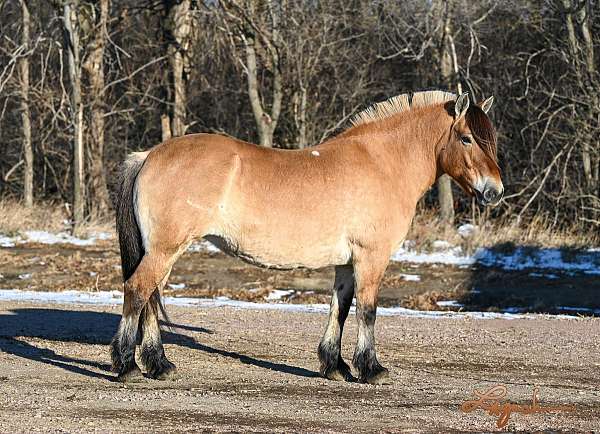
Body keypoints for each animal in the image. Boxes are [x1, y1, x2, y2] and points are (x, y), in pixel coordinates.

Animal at [111, 90, 502, 384]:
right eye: (467, 138)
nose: (494, 192)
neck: (381, 164)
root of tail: (148, 155)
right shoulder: (371, 257)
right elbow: (368, 311)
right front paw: (371, 369)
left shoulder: (346, 262)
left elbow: (340, 308)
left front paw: (335, 366)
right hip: (166, 249)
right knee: (138, 291)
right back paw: (127, 366)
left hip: (162, 251)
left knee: (149, 298)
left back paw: (159, 365)